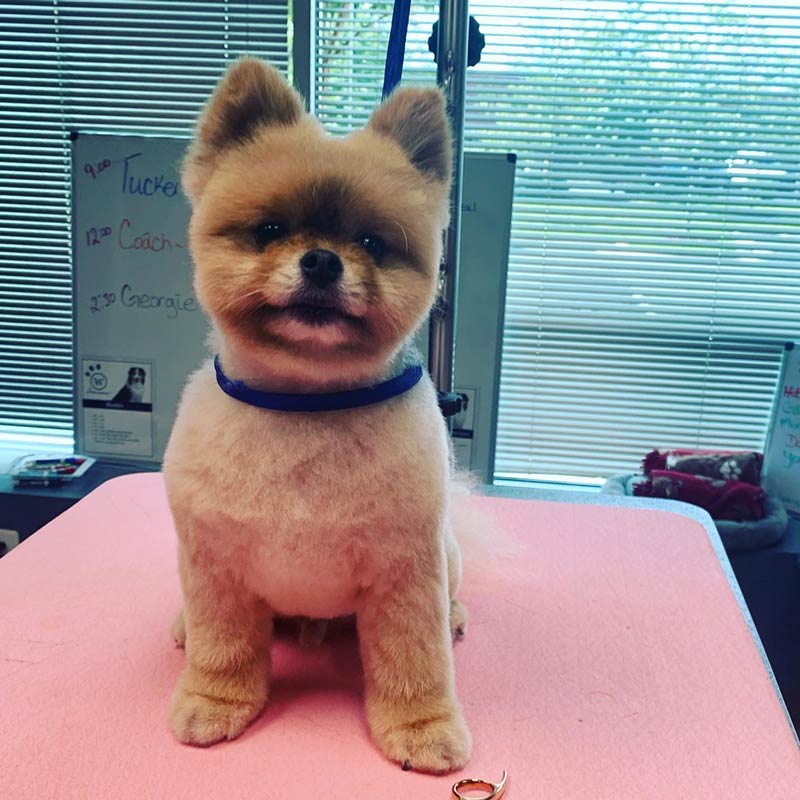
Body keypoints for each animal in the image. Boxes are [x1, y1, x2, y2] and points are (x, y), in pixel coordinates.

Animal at [165, 57, 472, 776]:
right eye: (270, 231)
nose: (323, 260)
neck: (305, 403)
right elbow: (224, 646)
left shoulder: (405, 570)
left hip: (445, 553)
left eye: (371, 242)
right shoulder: (214, 564)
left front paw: (421, 728)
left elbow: (415, 663)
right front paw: (214, 702)